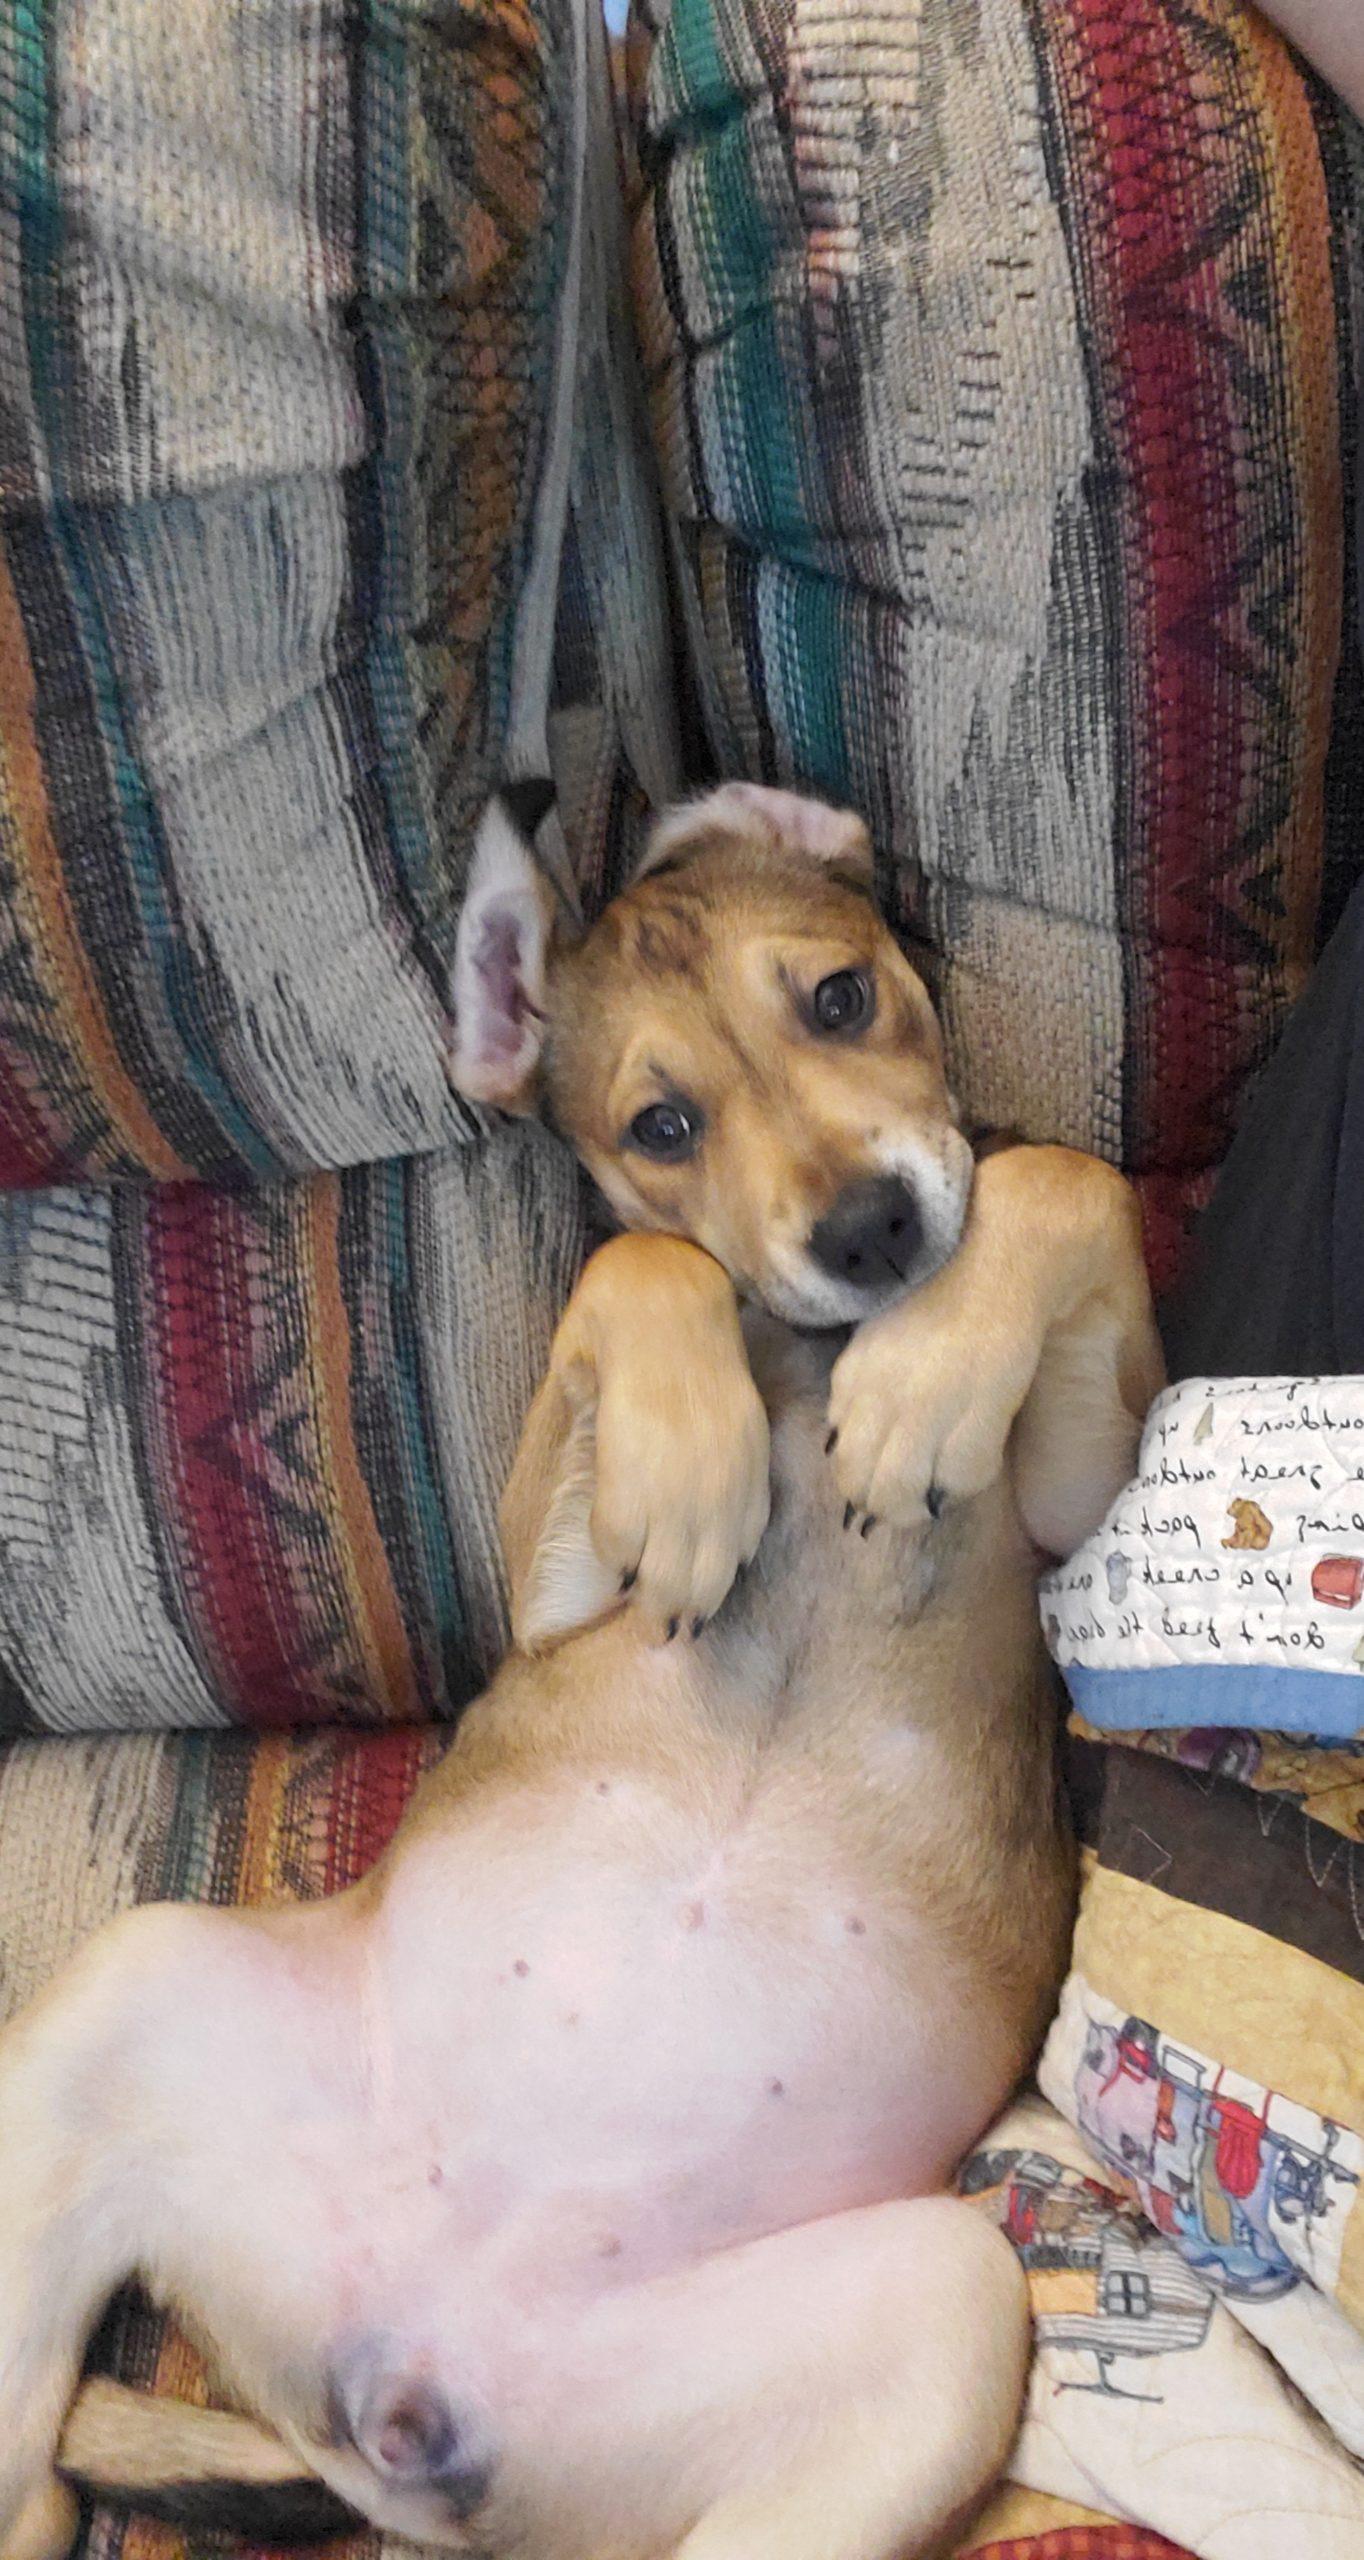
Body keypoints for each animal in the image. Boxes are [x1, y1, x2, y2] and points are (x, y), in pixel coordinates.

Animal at [0, 778, 1161, 2560]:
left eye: (842, 998)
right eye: (659, 1128)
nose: (875, 1230)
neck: (802, 1351)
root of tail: (403, 2380)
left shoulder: (1070, 1502)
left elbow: (1069, 1182)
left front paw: (922, 1382)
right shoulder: (551, 1593)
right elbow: (637, 1269)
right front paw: (703, 1462)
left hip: (941, 2322)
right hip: (127, 1988)